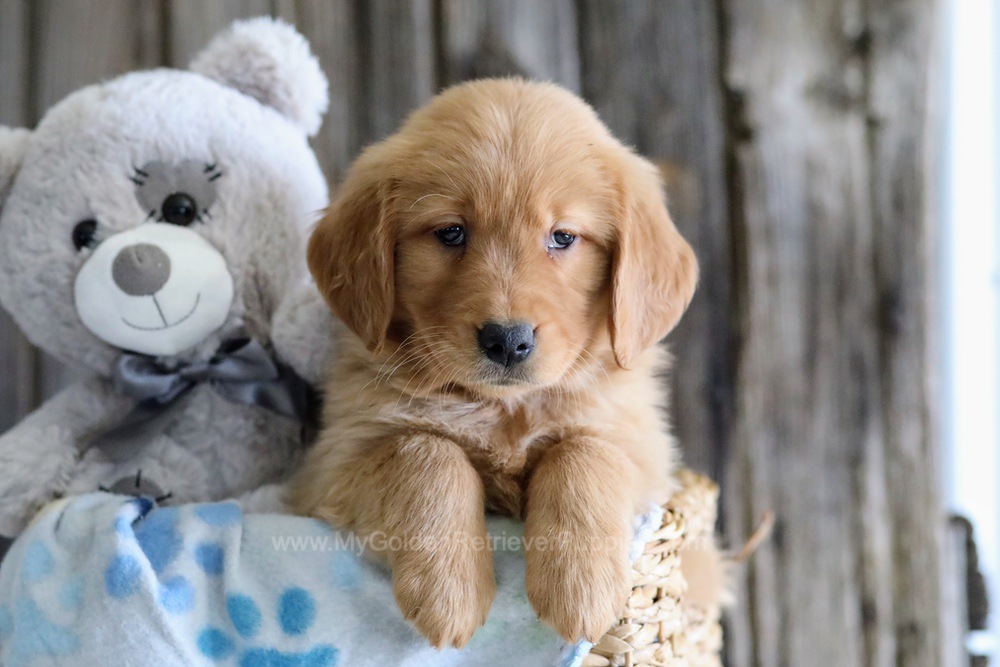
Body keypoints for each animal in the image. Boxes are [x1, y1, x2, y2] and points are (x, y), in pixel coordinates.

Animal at [290, 78, 696, 648]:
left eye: (563, 237)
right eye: (451, 233)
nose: (507, 341)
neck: (505, 409)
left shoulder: (645, 451)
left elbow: (583, 452)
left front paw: (580, 588)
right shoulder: (331, 465)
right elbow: (426, 453)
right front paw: (449, 592)